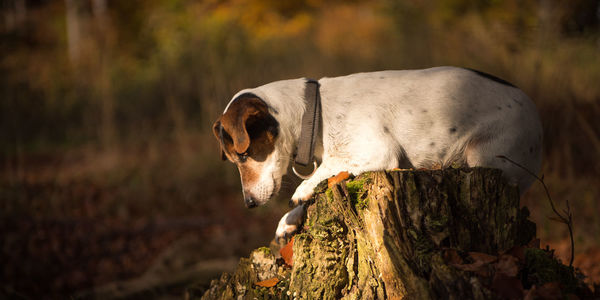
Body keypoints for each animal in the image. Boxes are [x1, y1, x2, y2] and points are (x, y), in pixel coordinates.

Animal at [212, 67, 544, 240]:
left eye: (243, 156)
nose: (248, 203)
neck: (315, 113)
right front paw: (289, 219)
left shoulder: (378, 150)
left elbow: (325, 171)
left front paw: (302, 190)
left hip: (486, 155)